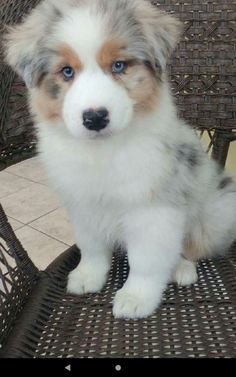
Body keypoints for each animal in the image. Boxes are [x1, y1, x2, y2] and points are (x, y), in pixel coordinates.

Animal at [5, 0, 236, 318]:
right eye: (66, 71)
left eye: (119, 66)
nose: (95, 118)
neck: (103, 152)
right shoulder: (82, 203)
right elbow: (91, 247)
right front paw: (88, 276)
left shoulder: (152, 210)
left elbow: (147, 261)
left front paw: (136, 297)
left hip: (213, 212)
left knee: (191, 247)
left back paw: (182, 269)